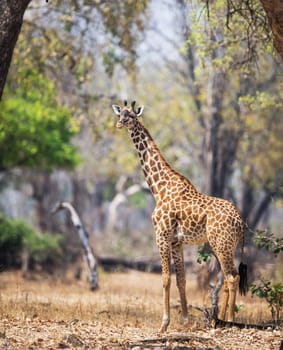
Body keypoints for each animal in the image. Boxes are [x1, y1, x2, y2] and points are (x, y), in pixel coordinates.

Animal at [112, 100, 247, 330]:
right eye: (120, 113)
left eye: (131, 116)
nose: (120, 124)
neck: (159, 187)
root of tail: (241, 221)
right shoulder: (177, 242)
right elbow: (181, 279)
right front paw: (184, 319)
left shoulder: (161, 235)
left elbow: (165, 278)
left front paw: (164, 324)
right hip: (228, 246)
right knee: (230, 277)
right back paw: (224, 318)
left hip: (220, 244)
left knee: (231, 277)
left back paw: (230, 320)